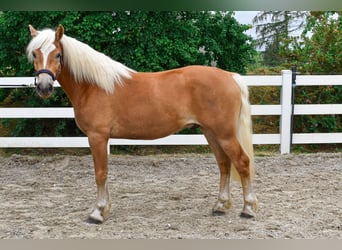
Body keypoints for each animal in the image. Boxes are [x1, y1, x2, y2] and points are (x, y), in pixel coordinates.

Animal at [26, 24, 256, 224]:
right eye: (35, 54)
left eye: (57, 55)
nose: (44, 87)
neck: (93, 86)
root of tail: (231, 77)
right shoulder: (101, 138)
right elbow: (104, 173)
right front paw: (105, 208)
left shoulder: (97, 136)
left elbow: (100, 173)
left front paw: (97, 213)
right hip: (211, 133)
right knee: (224, 164)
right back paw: (220, 206)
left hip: (224, 134)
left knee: (242, 162)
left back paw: (248, 209)